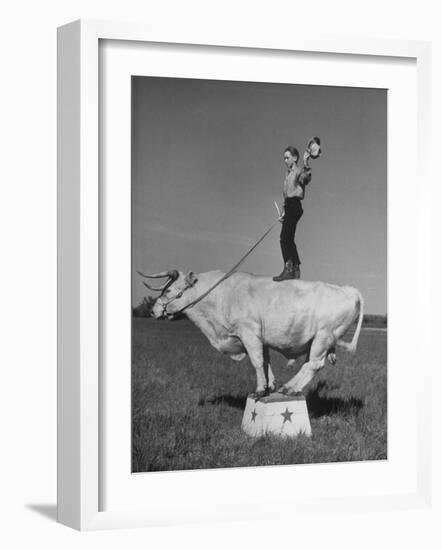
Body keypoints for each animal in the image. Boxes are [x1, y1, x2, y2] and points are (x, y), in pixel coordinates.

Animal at [145, 270, 362, 398]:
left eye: (169, 290)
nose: (152, 310)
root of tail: (349, 290)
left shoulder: (249, 333)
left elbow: (257, 362)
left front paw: (259, 390)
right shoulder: (259, 339)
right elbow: (265, 362)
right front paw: (269, 386)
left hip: (323, 337)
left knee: (314, 365)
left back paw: (290, 387)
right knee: (310, 365)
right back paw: (288, 387)